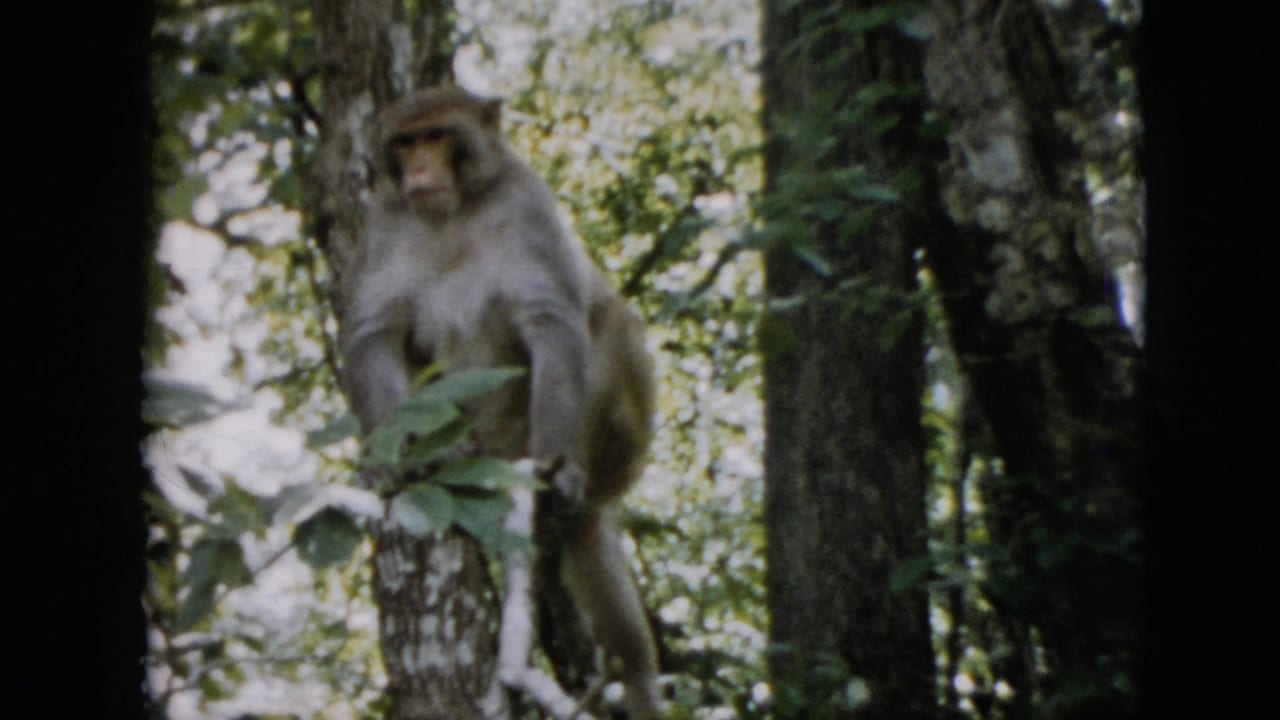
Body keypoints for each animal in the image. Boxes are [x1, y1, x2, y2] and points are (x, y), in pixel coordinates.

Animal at [338, 86, 662, 719]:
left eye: (437, 135)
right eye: (405, 142)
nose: (419, 168)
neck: (453, 213)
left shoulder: (526, 201)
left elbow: (552, 319)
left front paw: (557, 472)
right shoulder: (385, 221)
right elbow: (375, 333)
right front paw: (394, 460)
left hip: (617, 436)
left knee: (606, 325)